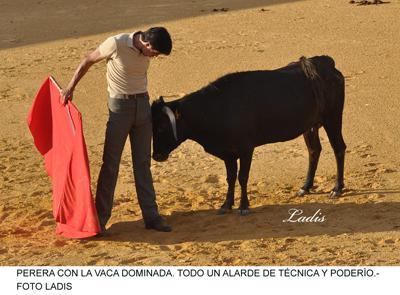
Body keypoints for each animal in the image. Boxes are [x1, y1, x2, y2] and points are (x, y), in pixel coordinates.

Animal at [152, 56, 346, 216]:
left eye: (162, 127)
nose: (156, 156)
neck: (215, 108)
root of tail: (327, 64)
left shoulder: (246, 149)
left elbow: (242, 177)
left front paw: (243, 206)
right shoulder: (228, 154)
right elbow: (230, 178)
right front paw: (226, 205)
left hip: (332, 118)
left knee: (338, 148)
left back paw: (337, 189)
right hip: (310, 126)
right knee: (314, 150)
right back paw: (305, 187)